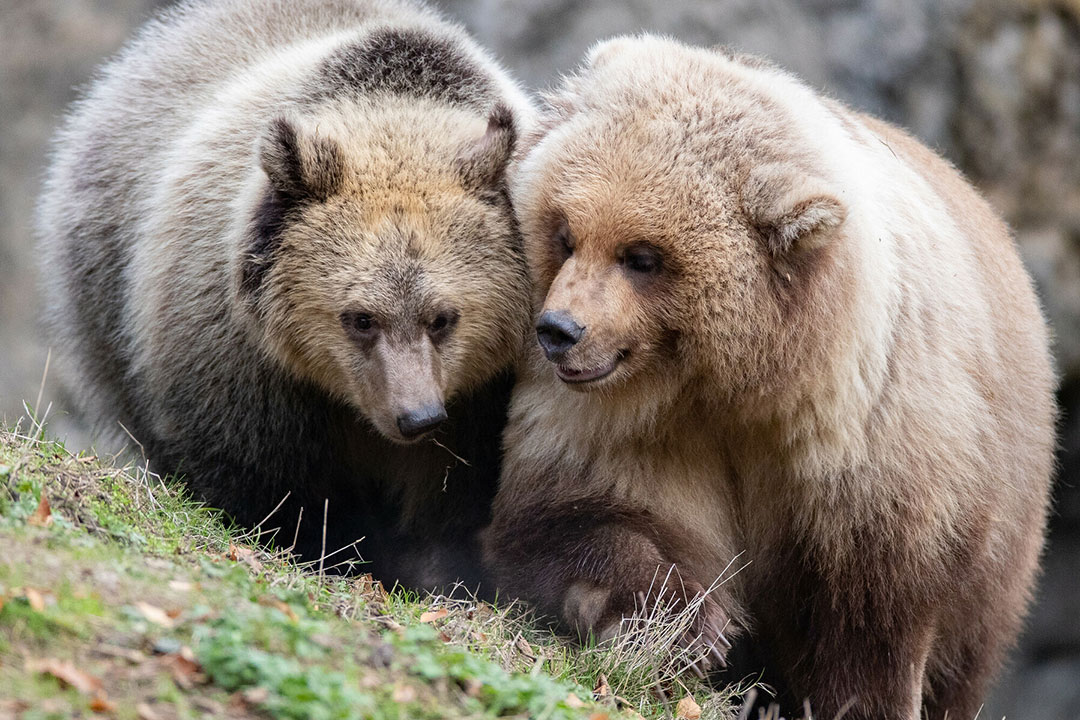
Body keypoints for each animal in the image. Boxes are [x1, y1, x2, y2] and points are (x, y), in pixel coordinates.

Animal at [38, 0, 535, 591]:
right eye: (359, 317)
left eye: (443, 317)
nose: (415, 416)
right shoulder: (243, 360)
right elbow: (267, 482)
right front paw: (324, 547)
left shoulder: (477, 403)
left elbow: (457, 500)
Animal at [486, 35, 1058, 720]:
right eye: (564, 232)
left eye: (643, 256)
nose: (559, 330)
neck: (751, 382)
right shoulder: (630, 429)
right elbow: (575, 514)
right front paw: (687, 626)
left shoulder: (873, 443)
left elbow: (872, 611)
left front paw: (858, 698)